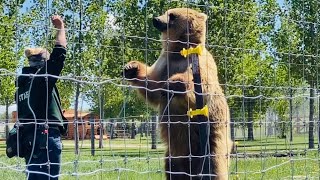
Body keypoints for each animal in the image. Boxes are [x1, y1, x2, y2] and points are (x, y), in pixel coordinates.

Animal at [123, 7, 232, 179]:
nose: (155, 19)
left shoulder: (201, 62)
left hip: (213, 139)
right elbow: (152, 86)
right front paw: (131, 67)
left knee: (215, 167)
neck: (179, 51)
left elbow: (201, 87)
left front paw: (174, 83)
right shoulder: (165, 64)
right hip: (175, 153)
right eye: (166, 12)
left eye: (172, 15)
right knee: (173, 167)